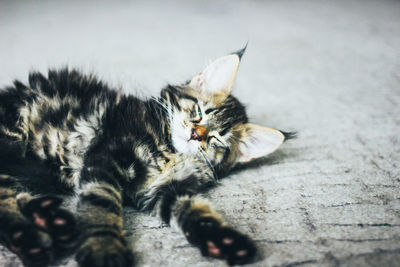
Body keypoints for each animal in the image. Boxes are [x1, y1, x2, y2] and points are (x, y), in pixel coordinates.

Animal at [0, 48, 294, 267]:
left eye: (217, 139)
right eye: (199, 112)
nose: (195, 134)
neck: (169, 152)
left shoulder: (169, 189)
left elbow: (197, 214)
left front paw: (224, 241)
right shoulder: (107, 158)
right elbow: (99, 204)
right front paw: (103, 249)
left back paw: (50, 221)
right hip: (11, 141)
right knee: (5, 200)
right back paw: (31, 238)